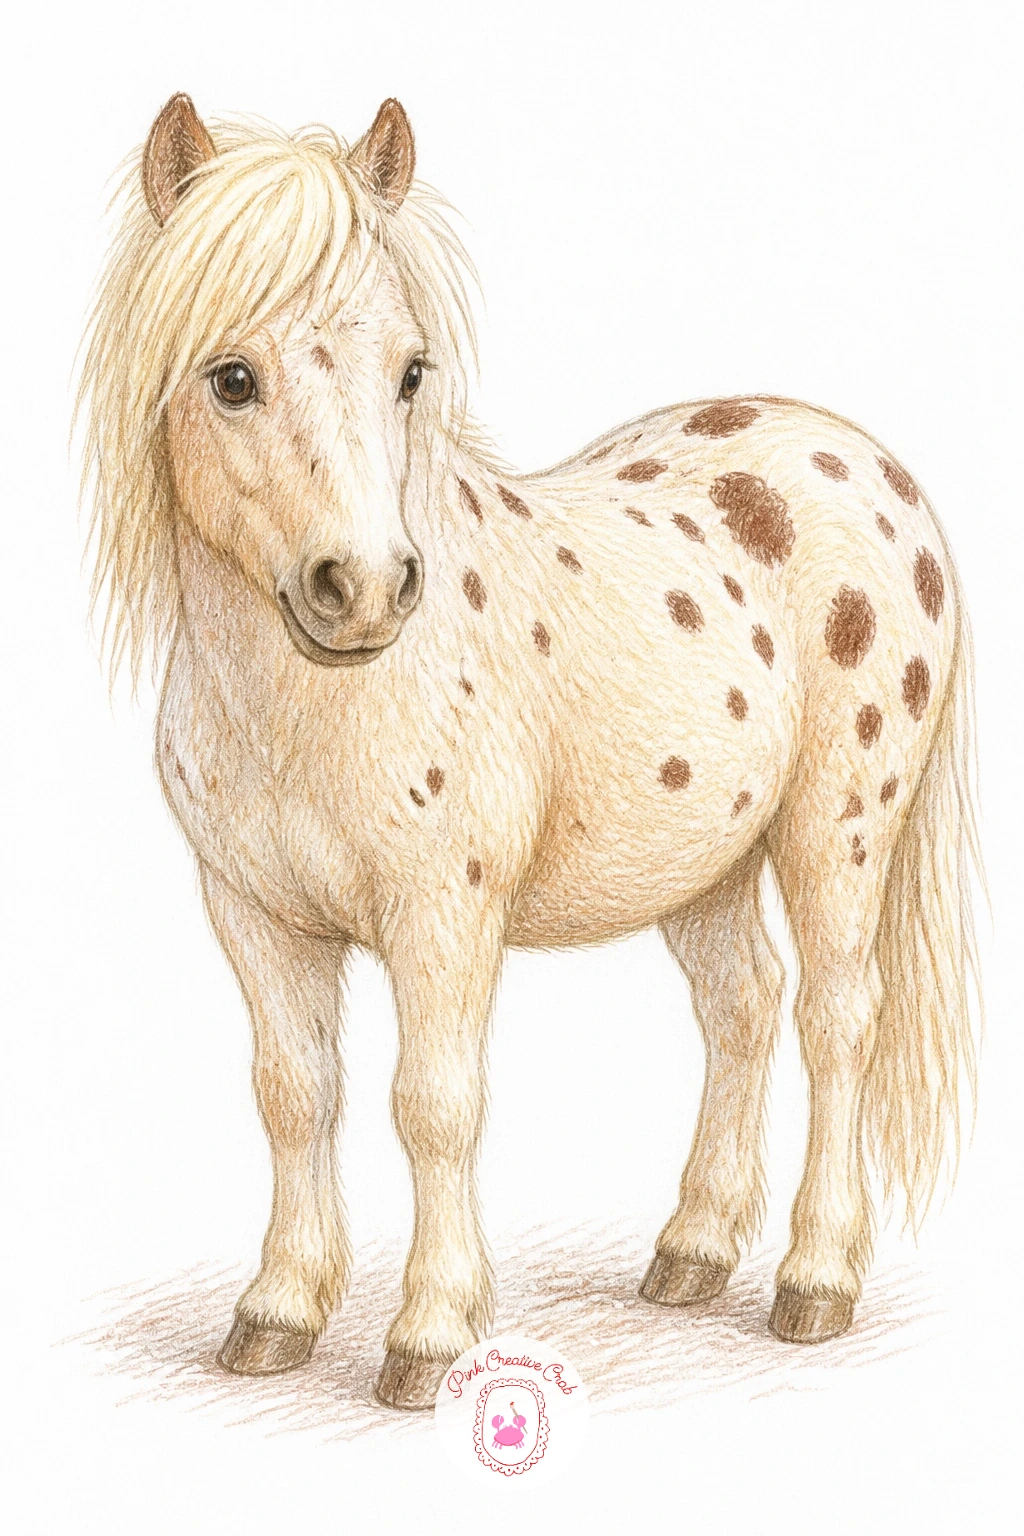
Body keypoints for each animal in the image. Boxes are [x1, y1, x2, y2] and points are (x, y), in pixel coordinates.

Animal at [79, 93, 980, 1411]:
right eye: (230, 377)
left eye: (410, 372)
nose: (365, 590)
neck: (306, 711)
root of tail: (861, 459)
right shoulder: (255, 915)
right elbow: (294, 1095)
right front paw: (277, 1313)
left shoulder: (442, 915)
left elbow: (433, 1105)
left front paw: (428, 1333)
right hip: (705, 859)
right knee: (742, 1009)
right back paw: (691, 1254)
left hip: (837, 828)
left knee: (834, 1019)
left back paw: (814, 1280)